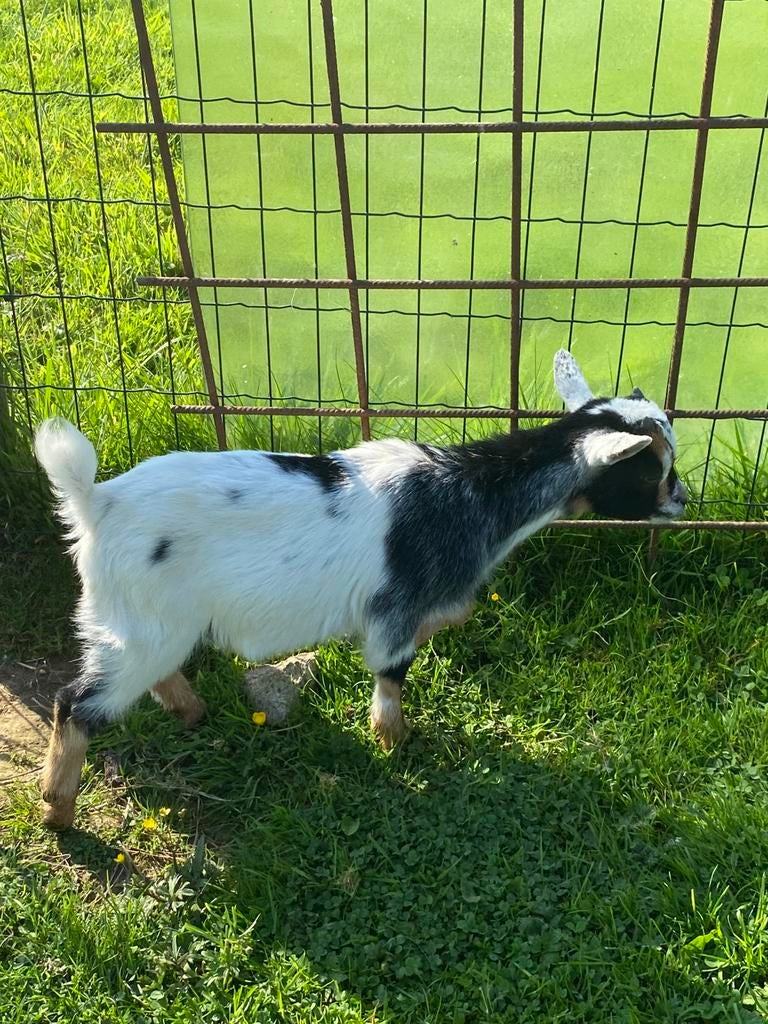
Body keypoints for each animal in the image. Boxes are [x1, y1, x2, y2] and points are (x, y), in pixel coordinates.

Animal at [34, 350, 686, 829]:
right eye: (654, 469)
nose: (682, 501)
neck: (470, 494)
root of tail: (94, 503)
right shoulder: (397, 609)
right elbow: (392, 674)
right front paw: (395, 741)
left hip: (149, 624)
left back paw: (191, 711)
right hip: (142, 627)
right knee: (76, 703)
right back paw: (59, 810)